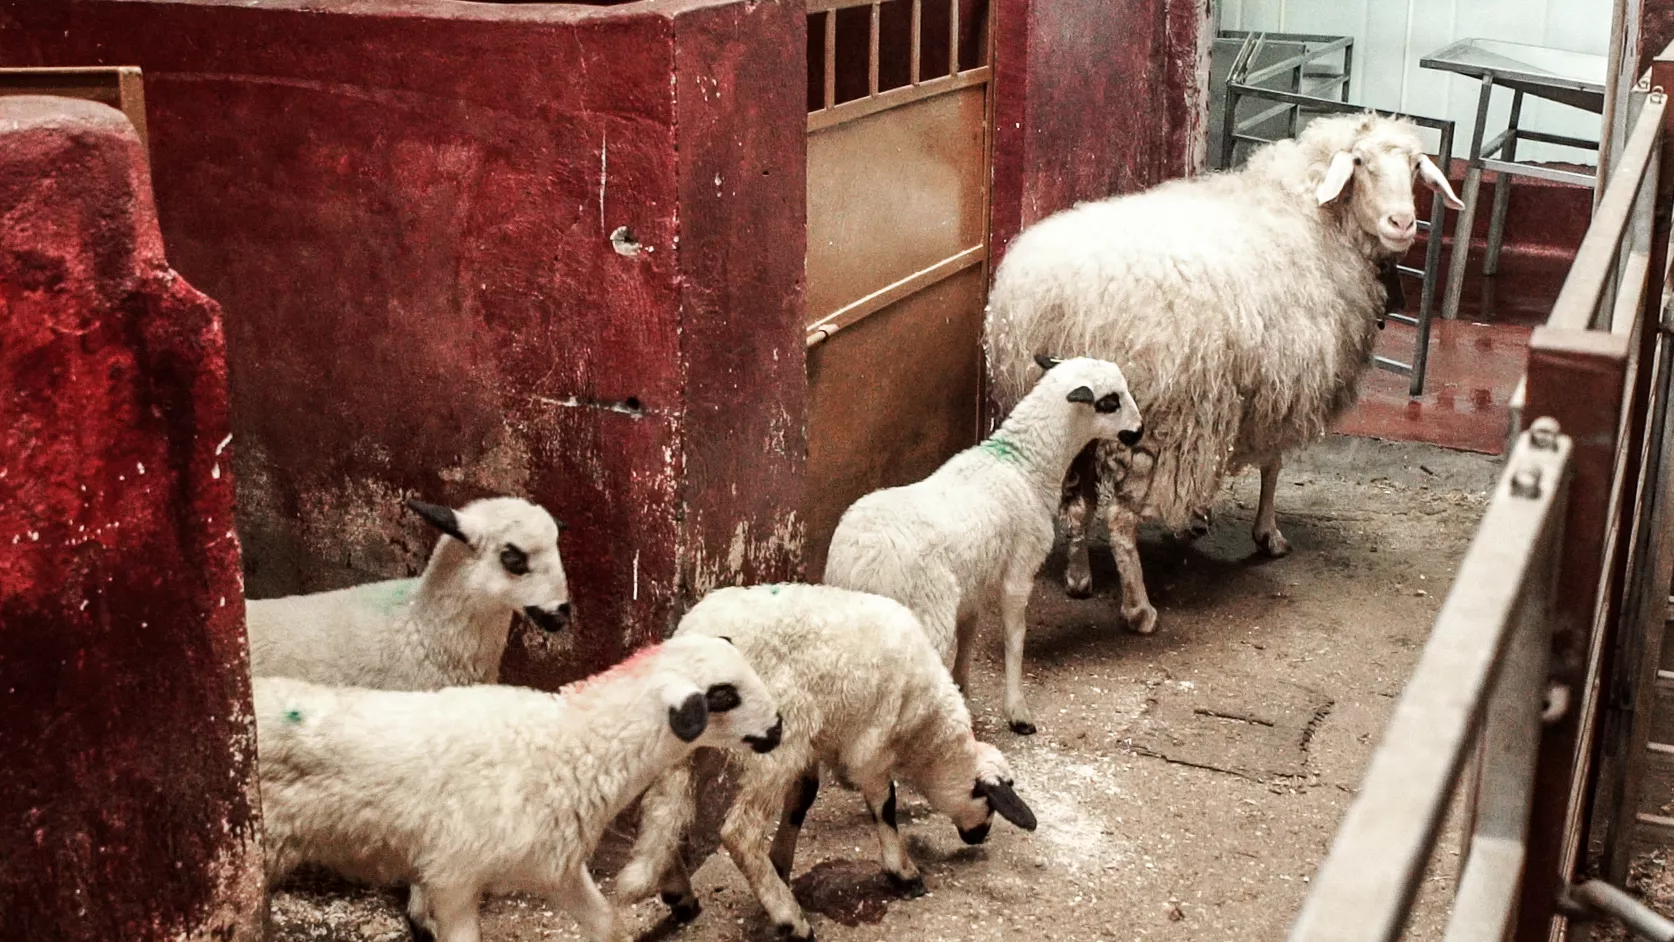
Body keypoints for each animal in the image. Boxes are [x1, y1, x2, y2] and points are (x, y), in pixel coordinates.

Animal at [254, 632, 783, 942]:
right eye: (723, 696)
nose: (778, 728)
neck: (567, 744)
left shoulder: (558, 867)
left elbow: (606, 923)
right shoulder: (453, 876)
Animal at [616, 585, 1031, 936]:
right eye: (989, 804)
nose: (979, 837)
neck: (929, 735)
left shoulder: (817, 743)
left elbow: (803, 798)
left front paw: (780, 862)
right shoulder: (871, 745)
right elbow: (884, 804)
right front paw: (903, 873)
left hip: (687, 744)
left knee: (662, 809)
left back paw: (679, 894)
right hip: (775, 736)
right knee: (739, 831)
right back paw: (790, 920)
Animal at [820, 358, 1138, 732]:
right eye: (1109, 402)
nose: (1138, 431)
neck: (1024, 465)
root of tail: (861, 563)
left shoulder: (973, 583)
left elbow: (969, 633)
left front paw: (963, 686)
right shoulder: (1019, 570)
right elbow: (1015, 638)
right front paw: (1017, 711)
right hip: (926, 613)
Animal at [984, 114, 1459, 639]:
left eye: (1415, 166)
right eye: (1359, 162)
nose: (1403, 224)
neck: (1312, 217)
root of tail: (1060, 303)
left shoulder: (1257, 387)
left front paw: (1201, 517)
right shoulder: (1282, 382)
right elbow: (1273, 464)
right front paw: (1268, 535)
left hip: (1064, 417)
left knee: (1075, 503)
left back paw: (1079, 576)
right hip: (1155, 421)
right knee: (1120, 519)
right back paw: (1139, 609)